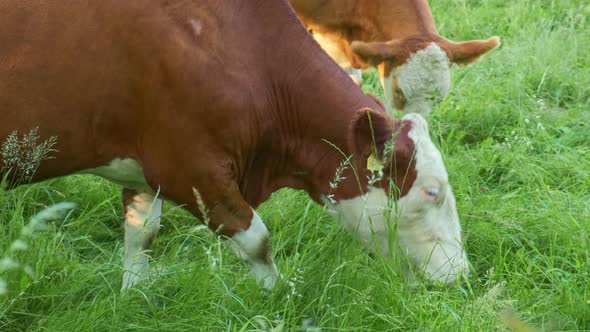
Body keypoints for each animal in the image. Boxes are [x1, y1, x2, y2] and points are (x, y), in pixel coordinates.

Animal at [1, 0, 472, 290]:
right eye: (432, 191)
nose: (461, 275)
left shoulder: (145, 164)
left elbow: (141, 234)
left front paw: (133, 295)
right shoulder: (189, 167)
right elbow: (256, 240)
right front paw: (279, 297)